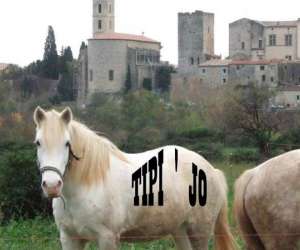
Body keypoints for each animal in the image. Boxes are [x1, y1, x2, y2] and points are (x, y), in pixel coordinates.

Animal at [32, 106, 234, 249]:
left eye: (67, 143)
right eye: (38, 142)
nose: (52, 186)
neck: (87, 187)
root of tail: (212, 170)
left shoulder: (107, 238)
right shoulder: (70, 239)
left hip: (199, 232)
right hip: (180, 231)